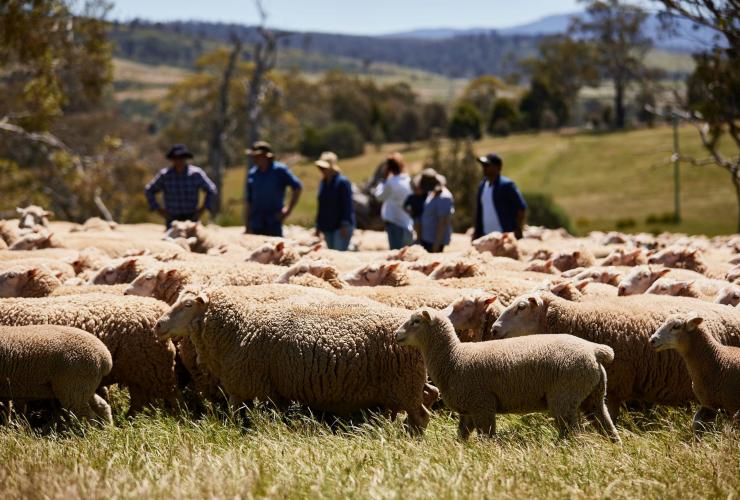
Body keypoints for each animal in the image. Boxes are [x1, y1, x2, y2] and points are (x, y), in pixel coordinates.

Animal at [154, 288, 432, 433]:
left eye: (187, 305)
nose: (158, 325)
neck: (241, 329)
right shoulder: (273, 392)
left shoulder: (251, 387)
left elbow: (239, 416)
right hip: (405, 386)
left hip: (405, 385)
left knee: (422, 416)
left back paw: (411, 440)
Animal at [394, 308, 620, 441]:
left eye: (416, 321)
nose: (396, 334)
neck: (453, 357)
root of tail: (595, 350)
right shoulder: (468, 410)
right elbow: (462, 435)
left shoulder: (483, 405)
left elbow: (486, 437)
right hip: (594, 396)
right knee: (605, 424)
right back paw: (613, 447)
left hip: (564, 396)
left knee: (572, 433)